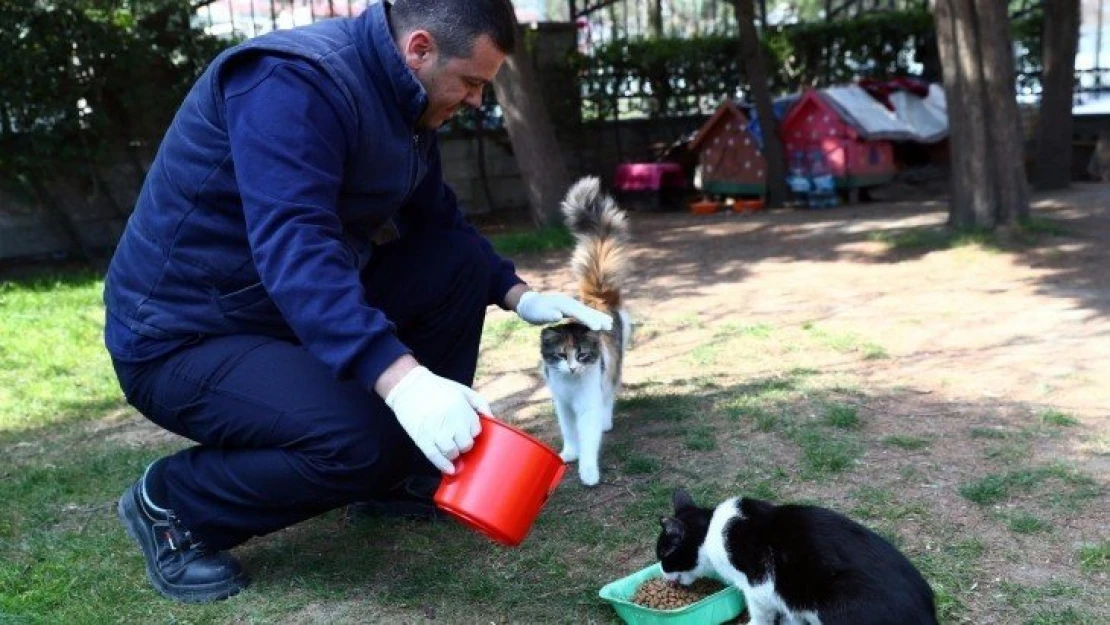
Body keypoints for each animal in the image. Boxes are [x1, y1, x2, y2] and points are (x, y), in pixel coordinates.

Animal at [539, 176, 630, 488]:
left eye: (580, 355)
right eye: (560, 355)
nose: (572, 368)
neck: (571, 384)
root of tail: (597, 300)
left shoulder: (588, 404)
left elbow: (589, 438)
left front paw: (589, 471)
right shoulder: (562, 404)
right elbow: (569, 432)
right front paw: (569, 452)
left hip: (613, 367)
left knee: (609, 395)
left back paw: (606, 421)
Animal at [657, 488, 936, 625]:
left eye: (662, 555)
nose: (660, 571)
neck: (712, 531)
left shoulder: (759, 584)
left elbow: (760, 613)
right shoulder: (786, 597)